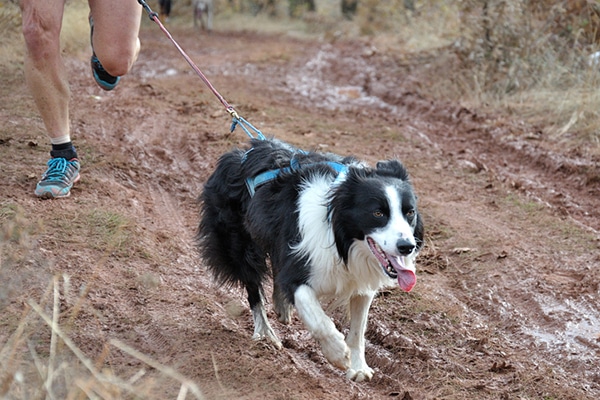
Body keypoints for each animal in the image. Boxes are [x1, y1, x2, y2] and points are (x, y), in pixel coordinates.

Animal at [197, 138, 422, 382]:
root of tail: (241, 152)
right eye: (378, 213)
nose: (407, 247)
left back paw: (281, 308)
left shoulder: (360, 277)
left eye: (410, 213)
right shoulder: (299, 260)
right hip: (237, 240)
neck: (342, 236)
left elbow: (359, 328)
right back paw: (266, 333)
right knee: (252, 285)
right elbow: (315, 313)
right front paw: (338, 354)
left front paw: (358, 368)